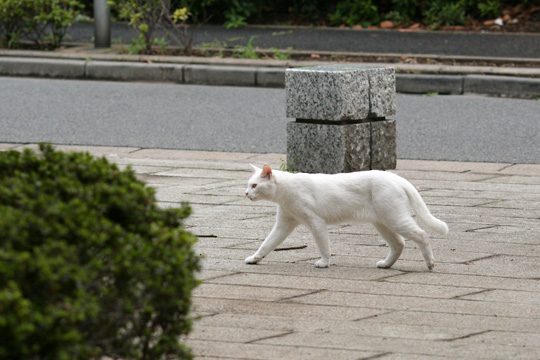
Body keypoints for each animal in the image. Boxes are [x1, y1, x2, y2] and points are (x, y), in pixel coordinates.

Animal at [244, 165, 448, 268]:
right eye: (249, 185)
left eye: (254, 185)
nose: (245, 193)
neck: (285, 191)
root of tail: (397, 178)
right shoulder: (284, 224)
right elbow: (267, 243)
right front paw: (255, 258)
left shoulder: (316, 222)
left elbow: (324, 246)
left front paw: (324, 262)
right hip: (383, 222)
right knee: (399, 243)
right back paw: (385, 264)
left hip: (395, 218)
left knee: (422, 235)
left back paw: (430, 263)